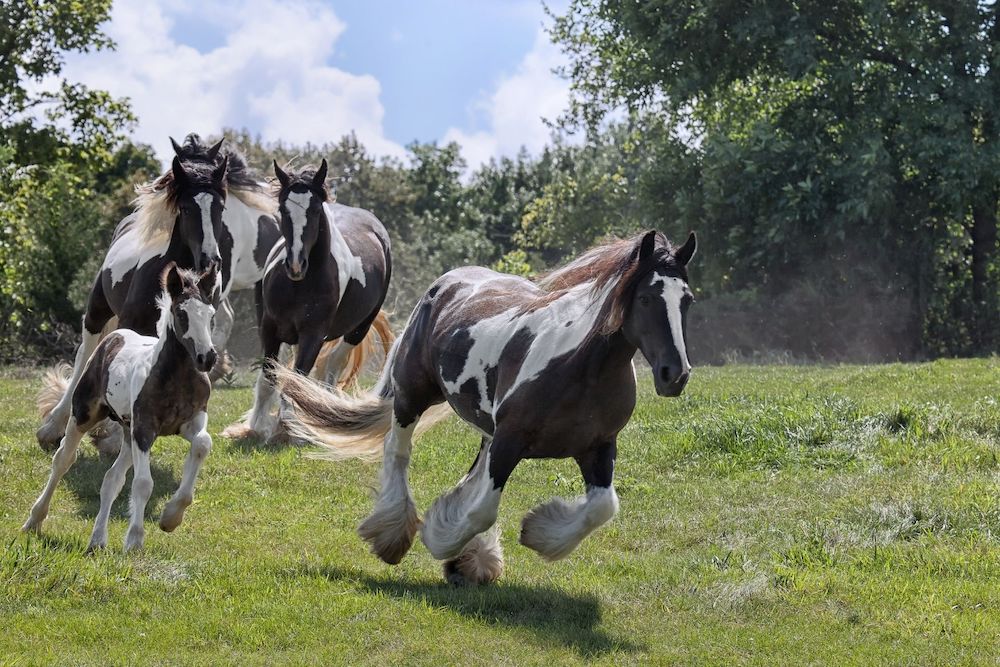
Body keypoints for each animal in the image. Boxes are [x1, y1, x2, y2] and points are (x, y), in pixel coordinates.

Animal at [23, 262, 219, 552]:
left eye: (210, 314)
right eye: (182, 314)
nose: (207, 358)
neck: (174, 376)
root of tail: (115, 335)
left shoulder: (189, 421)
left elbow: (203, 444)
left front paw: (170, 518)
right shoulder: (144, 430)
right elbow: (143, 483)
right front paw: (135, 540)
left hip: (127, 433)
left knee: (111, 480)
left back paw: (97, 540)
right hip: (85, 415)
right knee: (63, 460)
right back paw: (34, 520)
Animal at [38, 134, 282, 454]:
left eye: (220, 207)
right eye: (187, 207)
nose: (211, 260)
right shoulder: (129, 325)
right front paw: (110, 436)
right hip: (97, 310)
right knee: (85, 355)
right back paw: (54, 426)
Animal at [227, 162, 394, 444]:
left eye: (315, 209)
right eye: (283, 209)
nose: (296, 265)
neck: (301, 285)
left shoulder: (313, 335)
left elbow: (296, 379)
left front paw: (290, 428)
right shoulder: (269, 329)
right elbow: (269, 376)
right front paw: (255, 427)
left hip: (358, 329)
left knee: (333, 366)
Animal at [278, 230, 700, 584]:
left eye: (687, 300)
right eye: (645, 298)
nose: (675, 374)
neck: (581, 368)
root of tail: (446, 283)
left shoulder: (597, 447)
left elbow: (603, 507)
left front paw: (534, 535)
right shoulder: (510, 440)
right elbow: (484, 508)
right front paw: (440, 538)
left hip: (485, 428)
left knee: (471, 474)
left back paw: (472, 555)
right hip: (412, 395)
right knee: (398, 451)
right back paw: (393, 536)